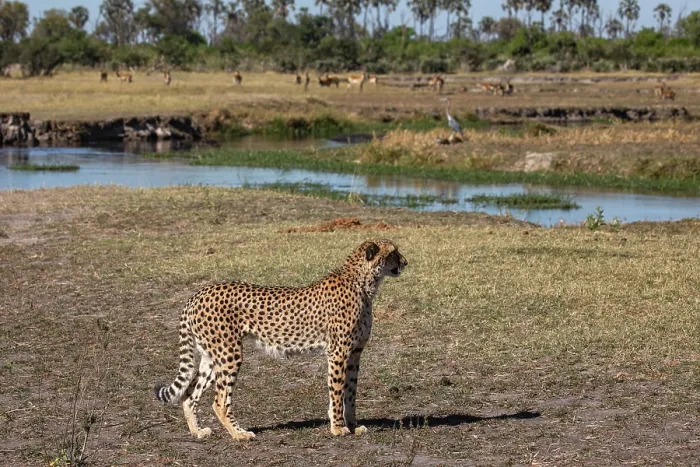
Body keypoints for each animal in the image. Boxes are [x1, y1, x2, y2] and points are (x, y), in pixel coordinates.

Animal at [154, 239, 408, 441]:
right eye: (393, 252)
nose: (405, 262)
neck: (363, 283)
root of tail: (198, 294)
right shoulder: (338, 353)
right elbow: (337, 391)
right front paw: (338, 428)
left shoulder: (355, 353)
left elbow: (351, 392)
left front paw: (353, 426)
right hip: (229, 355)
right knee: (219, 401)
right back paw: (239, 434)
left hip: (211, 356)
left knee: (188, 395)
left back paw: (197, 432)